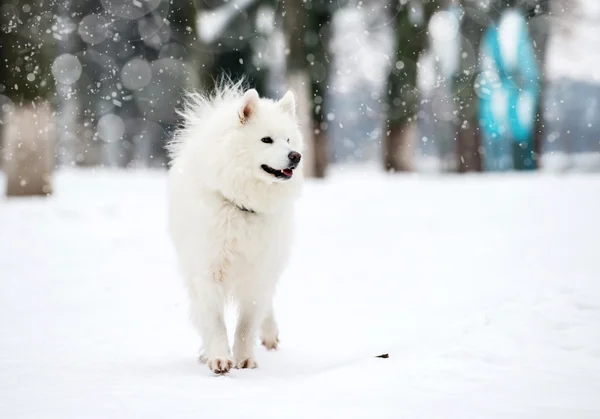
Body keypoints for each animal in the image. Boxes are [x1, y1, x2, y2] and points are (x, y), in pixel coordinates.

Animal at [166, 80, 302, 376]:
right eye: (266, 140)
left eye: (288, 140)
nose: (295, 156)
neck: (241, 205)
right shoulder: (207, 269)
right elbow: (214, 321)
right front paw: (218, 358)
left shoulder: (258, 271)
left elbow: (247, 323)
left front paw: (245, 359)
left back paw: (269, 334)